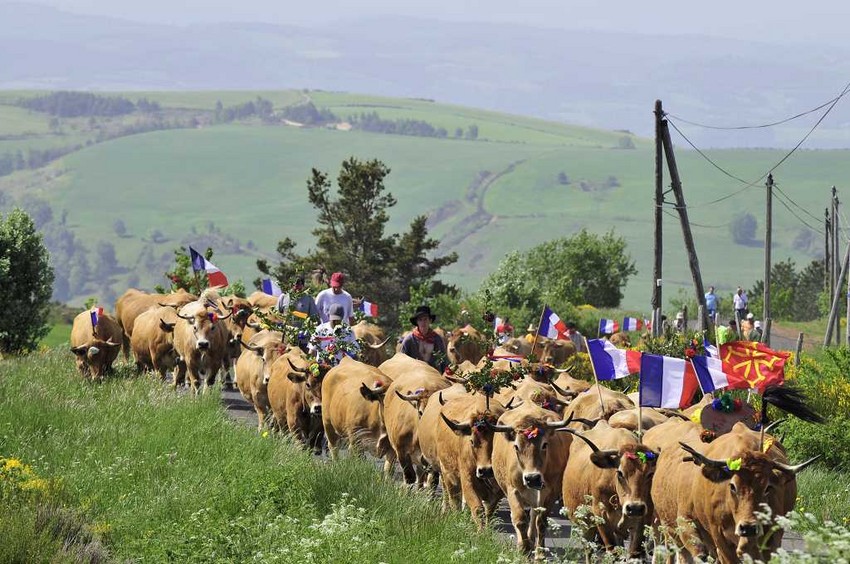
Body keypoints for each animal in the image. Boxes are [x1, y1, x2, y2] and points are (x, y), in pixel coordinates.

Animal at [434, 394, 506, 528]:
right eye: (472, 441)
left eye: (495, 442)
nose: (485, 470)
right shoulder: (467, 482)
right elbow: (478, 509)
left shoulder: (498, 490)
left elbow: (489, 510)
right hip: (447, 474)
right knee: (453, 500)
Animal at [486, 404, 572, 552]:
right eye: (516, 446)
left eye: (545, 444)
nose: (532, 478)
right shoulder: (512, 490)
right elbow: (519, 518)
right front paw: (523, 547)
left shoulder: (551, 492)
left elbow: (541, 522)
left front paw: (540, 552)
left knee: (533, 515)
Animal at [560, 420, 660, 556]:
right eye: (620, 473)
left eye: (650, 474)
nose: (634, 508)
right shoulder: (600, 514)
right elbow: (612, 550)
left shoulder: (644, 516)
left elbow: (634, 552)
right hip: (584, 524)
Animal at [640, 418, 812, 564]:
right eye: (732, 486)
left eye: (768, 488)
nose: (748, 527)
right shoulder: (706, 531)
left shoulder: (772, 537)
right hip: (668, 524)